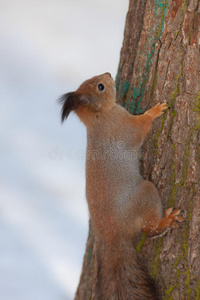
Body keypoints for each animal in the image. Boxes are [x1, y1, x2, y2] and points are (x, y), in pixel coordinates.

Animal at [59, 73, 184, 300]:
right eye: (100, 87)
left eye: (94, 80)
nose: (108, 74)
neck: (99, 118)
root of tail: (114, 235)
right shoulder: (122, 126)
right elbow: (140, 127)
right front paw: (155, 111)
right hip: (145, 193)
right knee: (150, 229)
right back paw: (166, 221)